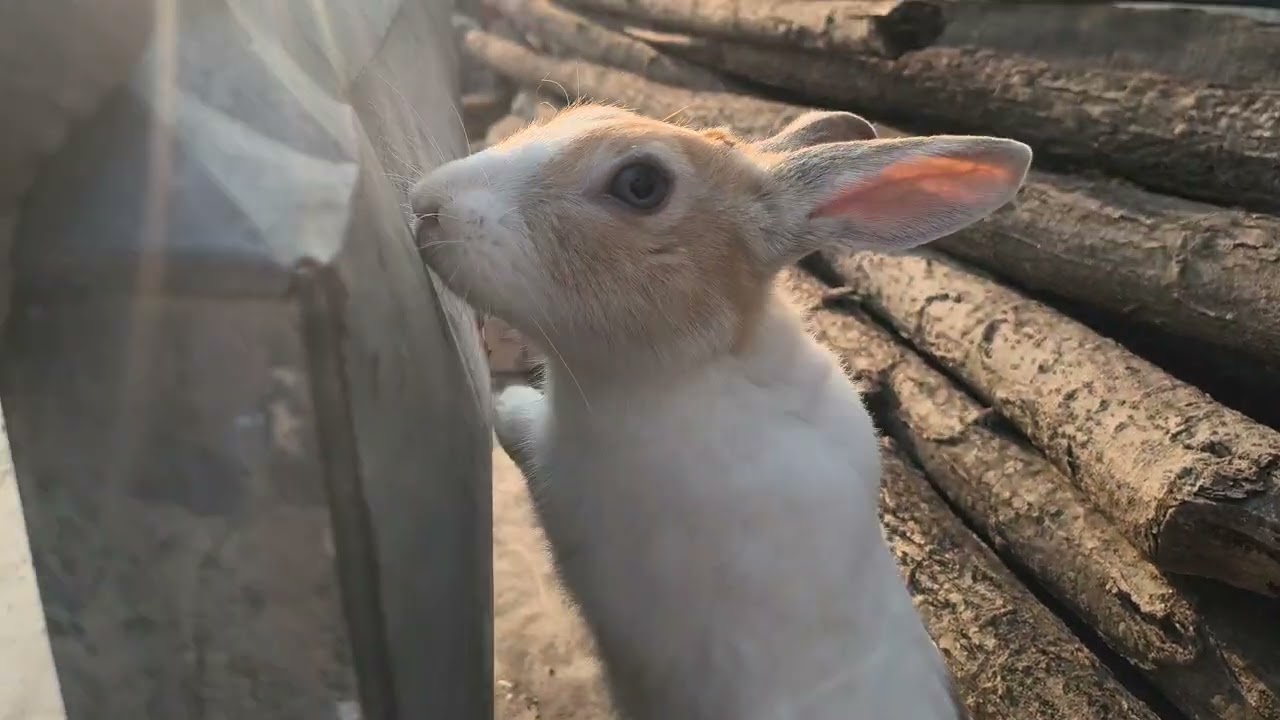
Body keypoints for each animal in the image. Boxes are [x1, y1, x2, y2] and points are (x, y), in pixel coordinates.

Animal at [411, 103, 1030, 720]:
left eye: (641, 184)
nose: (427, 204)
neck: (700, 369)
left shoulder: (557, 469)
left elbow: (519, 425)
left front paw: (501, 400)